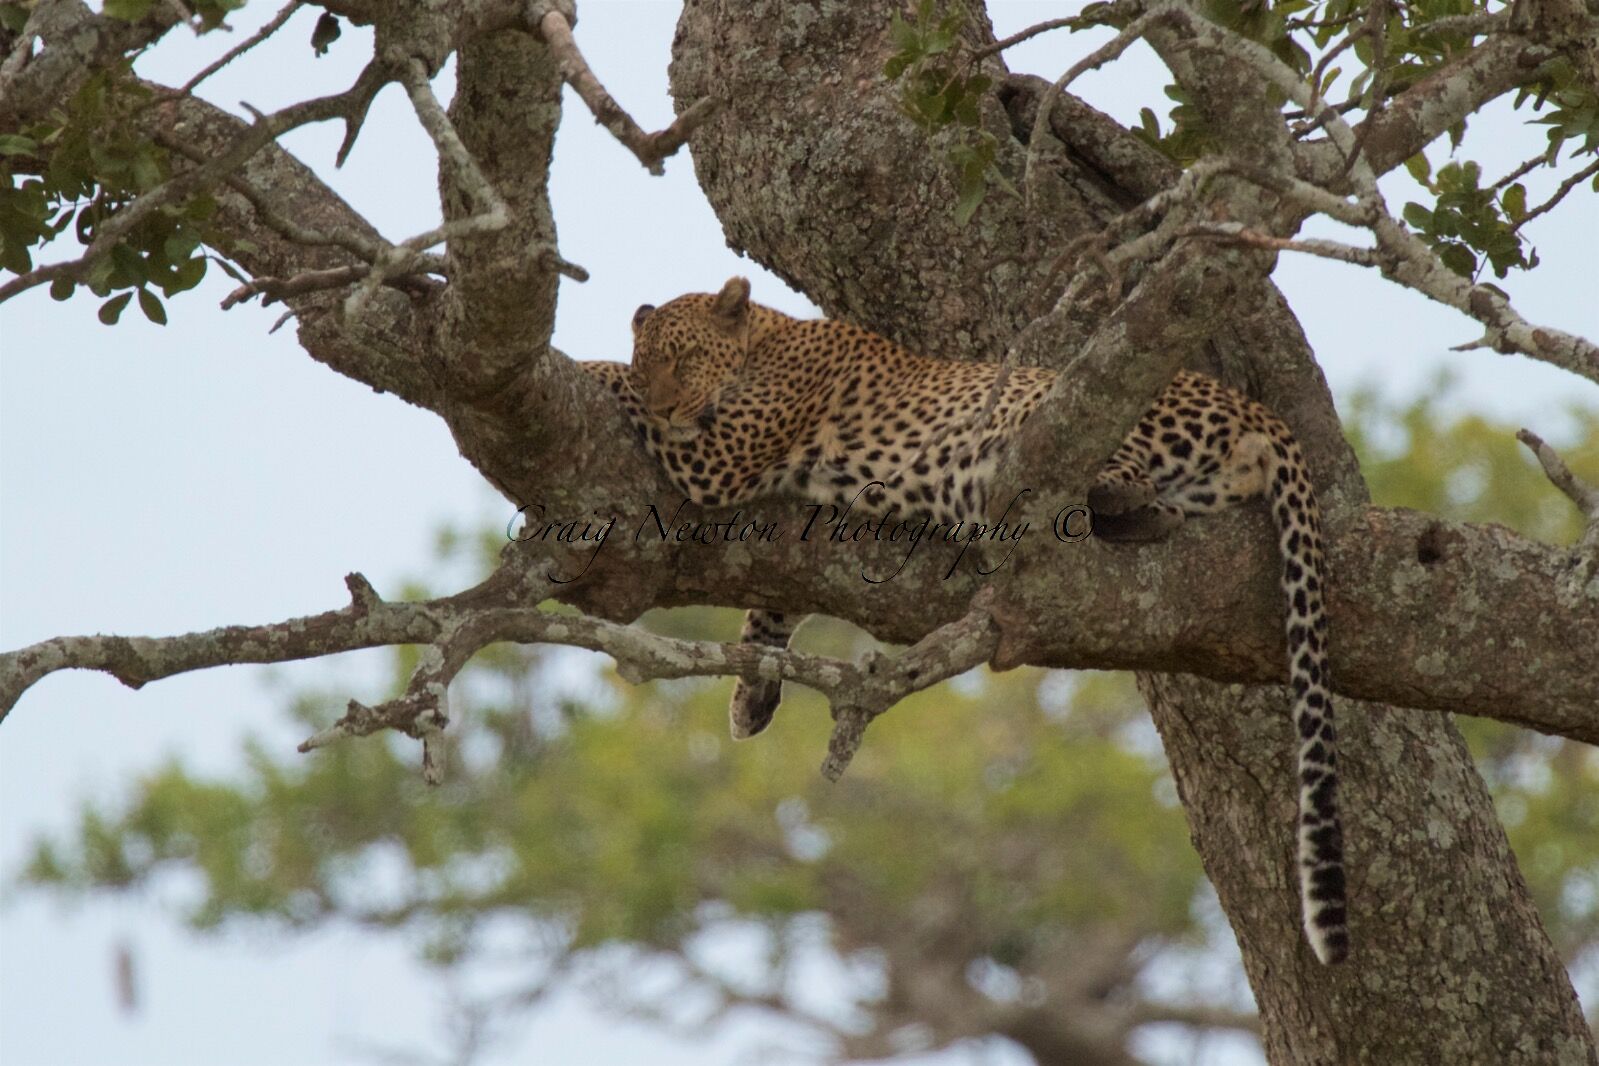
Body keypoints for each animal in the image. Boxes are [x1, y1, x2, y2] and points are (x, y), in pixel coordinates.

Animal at [581, 276, 1348, 966]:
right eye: (654, 360)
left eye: (682, 357)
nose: (669, 402)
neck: (767, 337)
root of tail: (1255, 410)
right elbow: (775, 603)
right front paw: (751, 698)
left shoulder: (723, 454)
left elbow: (629, 398)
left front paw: (588, 369)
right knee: (1159, 511)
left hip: (1077, 409)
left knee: (1106, 472)